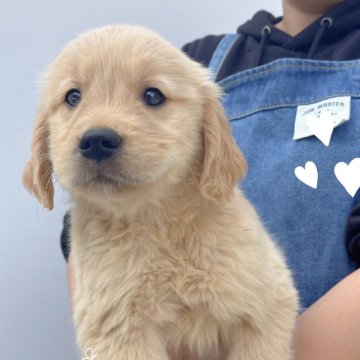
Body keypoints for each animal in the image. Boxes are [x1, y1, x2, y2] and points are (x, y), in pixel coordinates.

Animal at [23, 26, 298, 360]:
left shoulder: (267, 305)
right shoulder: (118, 329)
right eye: (72, 97)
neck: (157, 221)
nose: (97, 140)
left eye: (153, 95)